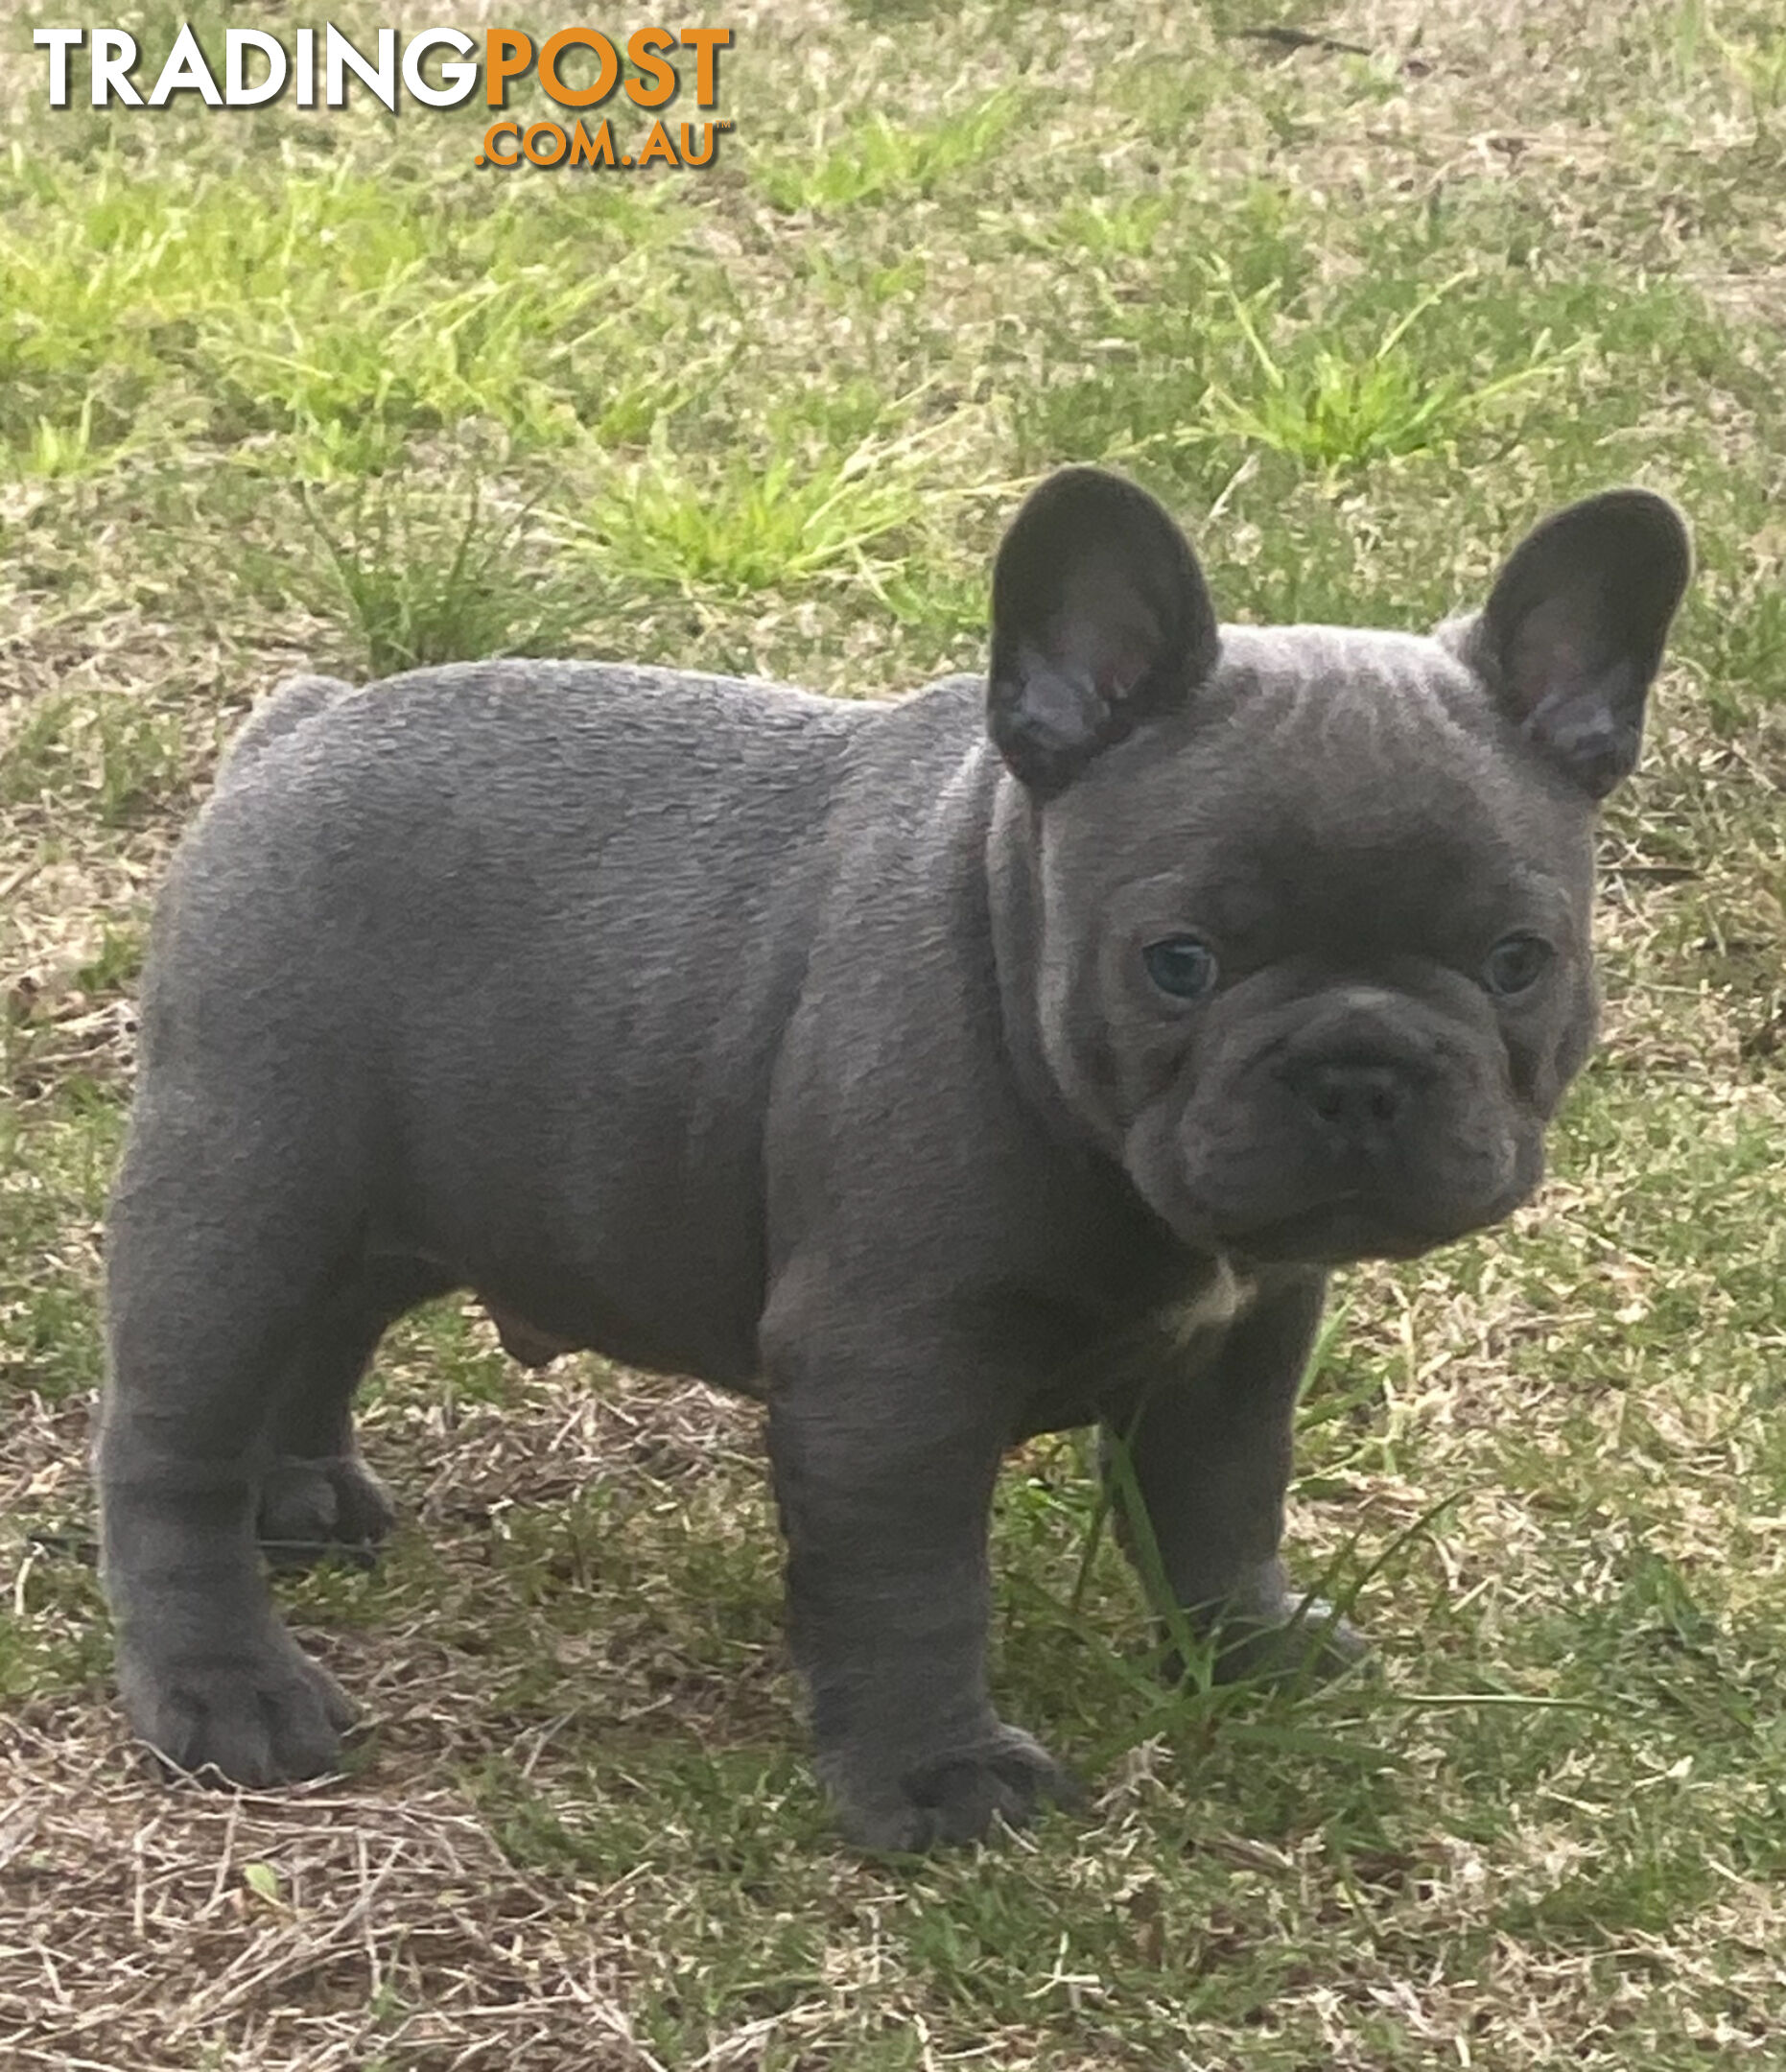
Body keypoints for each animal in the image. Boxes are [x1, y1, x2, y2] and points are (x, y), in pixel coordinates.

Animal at [98, 466, 1690, 1848]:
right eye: (1176, 963)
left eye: (1517, 961)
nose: (1359, 1065)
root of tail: (296, 731)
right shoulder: (890, 1383)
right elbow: (916, 1591)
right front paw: (935, 1784)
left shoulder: (1240, 1347)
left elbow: (1222, 1504)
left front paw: (1247, 1650)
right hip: (241, 1196)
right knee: (171, 1447)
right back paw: (226, 1690)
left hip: (402, 1199)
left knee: (328, 1332)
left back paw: (300, 1500)